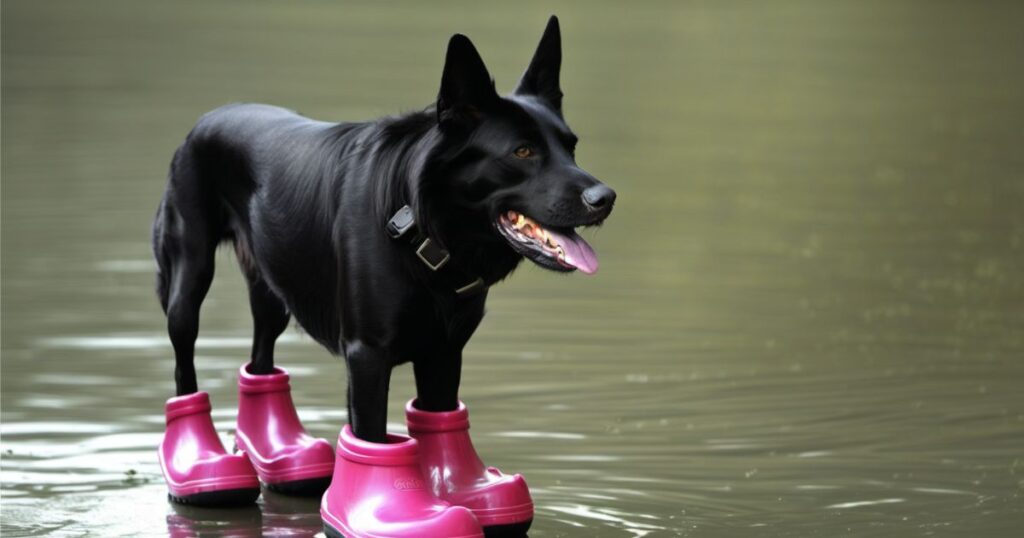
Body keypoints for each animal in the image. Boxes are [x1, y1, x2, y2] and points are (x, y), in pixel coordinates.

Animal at [151, 17, 614, 444]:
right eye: (522, 151)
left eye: (570, 147)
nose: (605, 198)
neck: (422, 229)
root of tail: (206, 120)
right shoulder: (366, 357)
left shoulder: (444, 354)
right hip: (188, 284)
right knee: (183, 372)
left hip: (271, 299)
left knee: (260, 362)